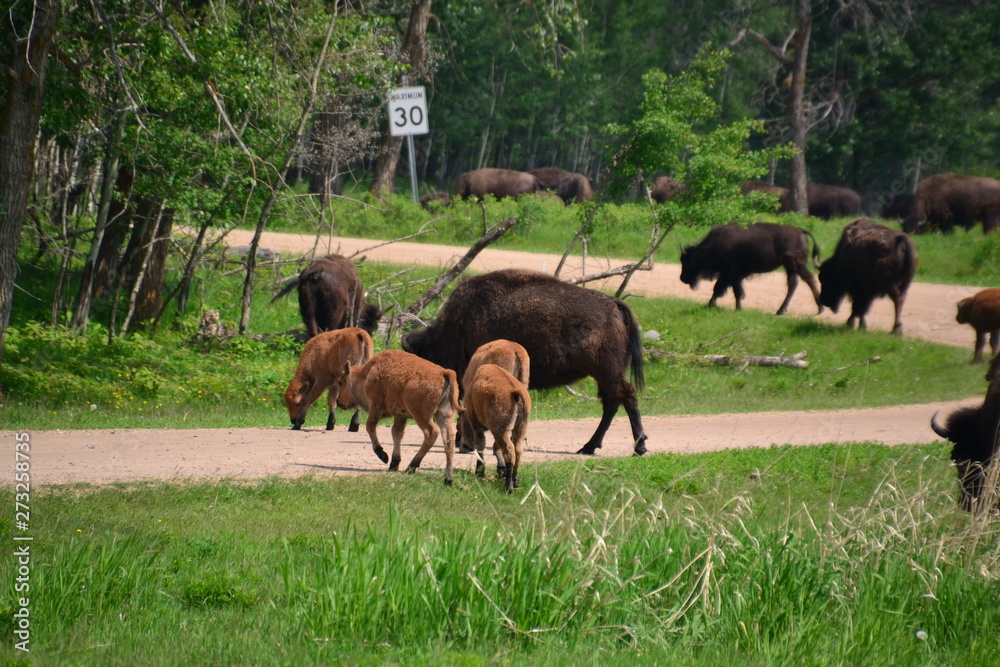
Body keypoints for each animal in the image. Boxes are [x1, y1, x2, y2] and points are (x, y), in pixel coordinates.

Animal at [402, 269, 647, 456]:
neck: (457, 329)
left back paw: (638, 448)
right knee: (613, 401)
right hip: (605, 374)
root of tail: (614, 303)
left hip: (605, 371)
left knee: (625, 396)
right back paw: (589, 447)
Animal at [679, 222, 823, 315]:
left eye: (686, 261)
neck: (718, 243)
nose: (682, 278)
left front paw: (736, 308)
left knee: (808, 279)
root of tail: (800, 231)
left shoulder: (731, 273)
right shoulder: (731, 275)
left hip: (796, 265)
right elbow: (723, 289)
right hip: (790, 267)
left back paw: (820, 309)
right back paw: (780, 311)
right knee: (793, 284)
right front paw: (712, 304)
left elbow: (730, 290)